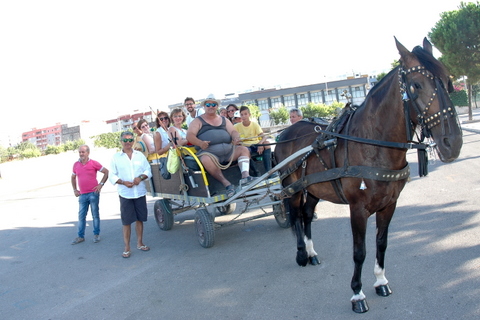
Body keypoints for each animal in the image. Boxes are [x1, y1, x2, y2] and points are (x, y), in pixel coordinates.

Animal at [276, 37, 464, 312]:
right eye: (416, 85)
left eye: (448, 81)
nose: (453, 143)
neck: (372, 143)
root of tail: (285, 133)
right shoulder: (358, 208)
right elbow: (359, 251)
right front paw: (357, 293)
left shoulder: (389, 204)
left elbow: (381, 243)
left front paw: (381, 281)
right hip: (293, 186)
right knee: (297, 214)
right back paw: (301, 254)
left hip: (315, 187)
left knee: (308, 214)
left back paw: (311, 253)